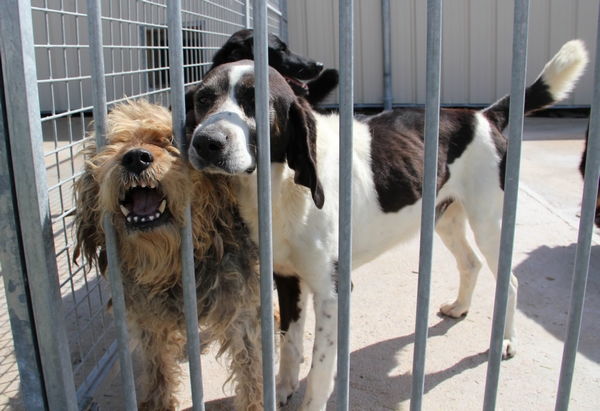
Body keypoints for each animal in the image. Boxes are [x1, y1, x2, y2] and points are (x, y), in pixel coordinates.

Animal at [74, 100, 262, 411]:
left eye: (169, 141)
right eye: (116, 142)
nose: (136, 158)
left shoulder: (240, 309)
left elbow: (250, 368)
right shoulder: (148, 316)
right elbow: (157, 364)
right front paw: (157, 401)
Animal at [186, 39, 584, 411]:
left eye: (256, 101)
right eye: (203, 99)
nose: (206, 142)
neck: (281, 184)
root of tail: (484, 116)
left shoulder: (332, 291)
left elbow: (320, 369)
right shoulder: (286, 277)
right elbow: (290, 345)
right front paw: (282, 389)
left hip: (488, 221)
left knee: (510, 281)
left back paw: (506, 340)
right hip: (445, 218)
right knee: (470, 263)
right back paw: (459, 307)